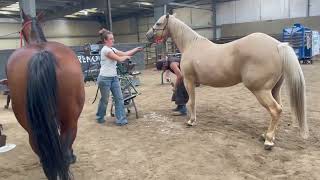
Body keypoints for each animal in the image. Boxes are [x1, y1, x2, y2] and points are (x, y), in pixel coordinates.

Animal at [146, 13, 308, 149]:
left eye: (158, 23)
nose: (148, 35)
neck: (191, 45)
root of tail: (278, 45)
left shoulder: (189, 81)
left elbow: (191, 102)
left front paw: (191, 121)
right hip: (274, 89)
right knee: (279, 109)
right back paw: (268, 136)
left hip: (261, 90)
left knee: (275, 110)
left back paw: (268, 140)